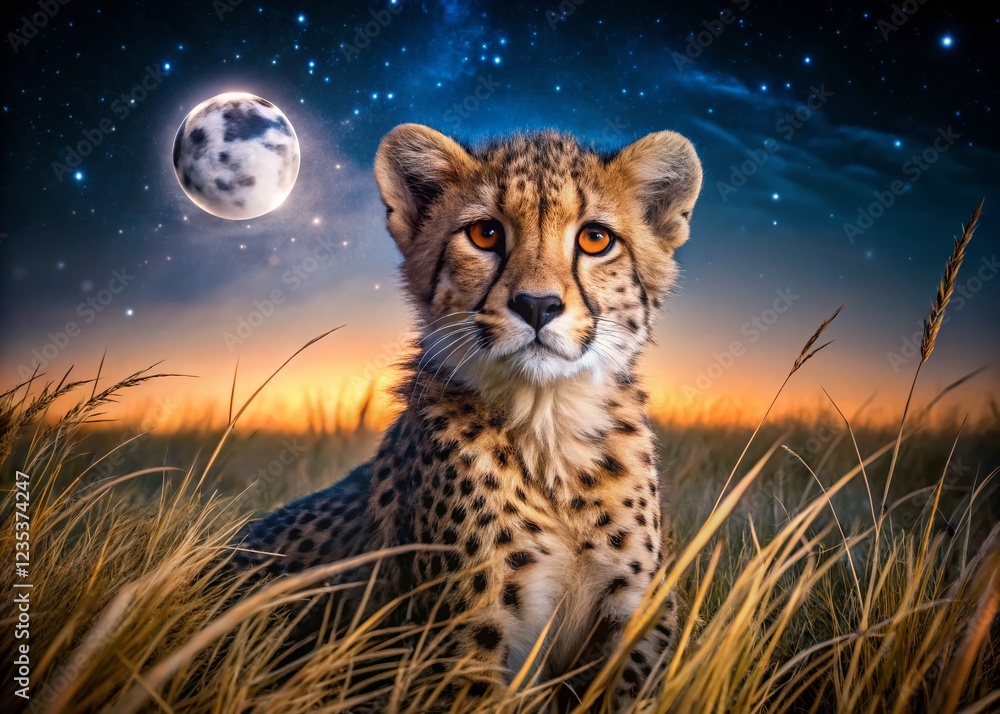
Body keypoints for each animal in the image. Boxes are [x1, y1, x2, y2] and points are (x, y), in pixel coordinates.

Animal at [231, 122, 703, 709]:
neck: (549, 427)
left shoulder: (636, 613)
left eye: (596, 239)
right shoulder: (463, 644)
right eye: (485, 233)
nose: (538, 305)